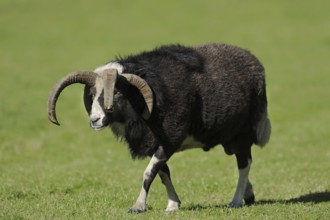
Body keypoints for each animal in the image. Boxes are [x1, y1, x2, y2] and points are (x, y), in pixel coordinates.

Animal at [47, 42, 272, 212]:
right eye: (92, 94)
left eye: (117, 92)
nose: (95, 120)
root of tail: (255, 64)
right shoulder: (154, 144)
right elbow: (163, 173)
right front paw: (173, 205)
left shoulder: (169, 140)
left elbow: (149, 173)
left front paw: (138, 207)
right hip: (229, 139)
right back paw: (248, 196)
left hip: (243, 133)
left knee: (244, 164)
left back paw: (236, 201)